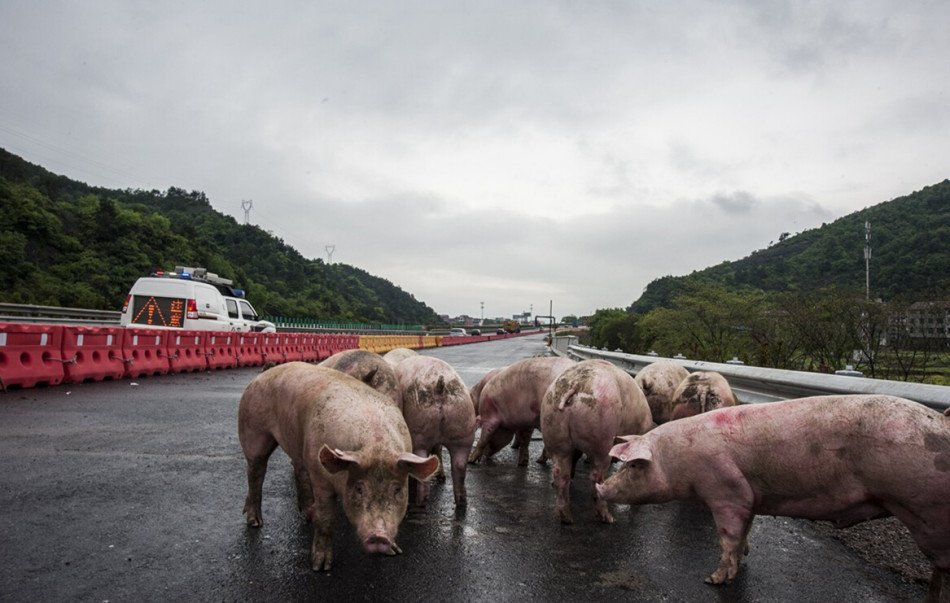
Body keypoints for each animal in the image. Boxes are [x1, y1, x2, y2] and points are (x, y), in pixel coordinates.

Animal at [238, 360, 438, 572]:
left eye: (397, 490)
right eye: (359, 488)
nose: (379, 536)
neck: (376, 446)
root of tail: (261, 376)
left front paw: (394, 552)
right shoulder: (320, 477)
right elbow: (325, 518)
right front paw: (320, 567)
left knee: (298, 470)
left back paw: (307, 514)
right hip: (253, 429)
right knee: (255, 471)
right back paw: (255, 522)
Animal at [396, 356, 480, 508]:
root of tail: (440, 385)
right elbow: (438, 450)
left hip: (419, 433)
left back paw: (421, 503)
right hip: (464, 429)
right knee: (459, 466)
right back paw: (461, 503)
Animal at [544, 360, 656, 528]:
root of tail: (576, 384)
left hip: (554, 431)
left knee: (560, 474)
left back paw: (567, 518)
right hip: (602, 436)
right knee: (596, 476)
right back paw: (608, 518)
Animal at [600, 394, 950, 596]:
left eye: (634, 466)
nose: (601, 487)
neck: (678, 459)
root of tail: (943, 422)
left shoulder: (726, 490)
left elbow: (727, 536)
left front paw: (713, 580)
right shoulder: (750, 495)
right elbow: (744, 532)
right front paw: (742, 560)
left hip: (927, 511)